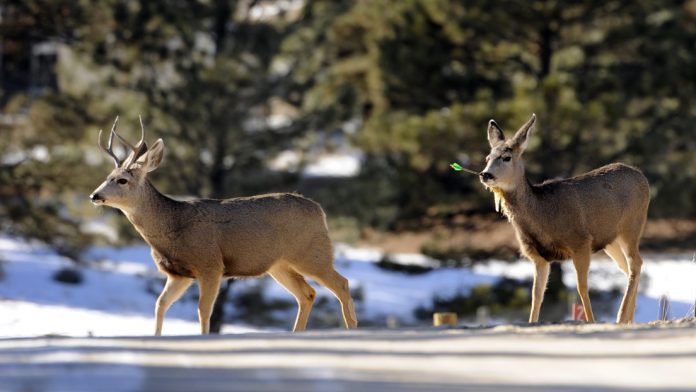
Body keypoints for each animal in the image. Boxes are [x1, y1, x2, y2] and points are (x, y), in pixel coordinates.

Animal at [88, 116, 358, 334]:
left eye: (122, 180)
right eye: (106, 177)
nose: (94, 195)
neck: (172, 225)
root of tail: (320, 211)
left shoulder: (210, 264)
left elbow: (203, 310)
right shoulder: (178, 273)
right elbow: (160, 305)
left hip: (311, 254)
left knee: (341, 283)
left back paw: (351, 329)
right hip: (279, 264)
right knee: (307, 294)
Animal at [476, 113, 648, 324]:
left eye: (506, 157)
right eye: (487, 157)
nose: (485, 174)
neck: (543, 215)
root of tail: (641, 176)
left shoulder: (581, 242)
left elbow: (582, 287)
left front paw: (591, 321)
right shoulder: (539, 256)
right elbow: (536, 295)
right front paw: (532, 323)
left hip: (632, 225)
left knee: (636, 263)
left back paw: (621, 316)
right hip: (610, 239)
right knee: (628, 267)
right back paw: (629, 319)